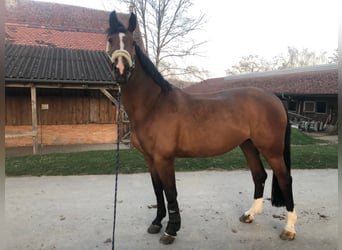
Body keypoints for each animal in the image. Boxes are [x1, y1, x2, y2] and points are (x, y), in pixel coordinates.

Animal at [105, 11, 296, 244]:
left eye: (133, 43)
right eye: (110, 40)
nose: (121, 70)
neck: (153, 104)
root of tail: (275, 98)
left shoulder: (164, 158)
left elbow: (170, 192)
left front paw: (171, 230)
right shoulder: (150, 158)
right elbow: (157, 190)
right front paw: (157, 223)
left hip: (272, 150)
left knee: (285, 179)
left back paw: (289, 229)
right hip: (248, 145)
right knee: (259, 176)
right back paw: (249, 215)